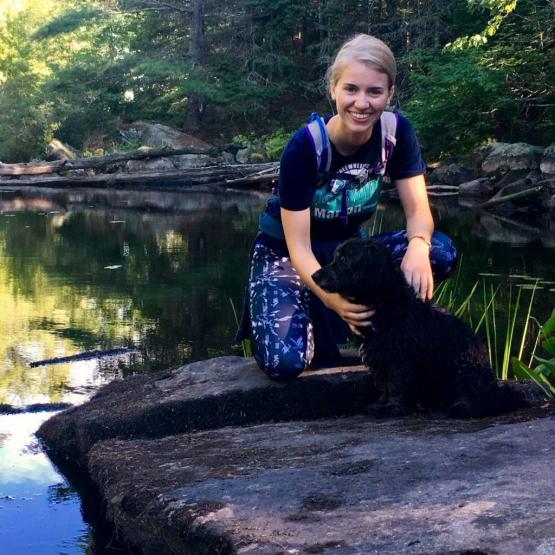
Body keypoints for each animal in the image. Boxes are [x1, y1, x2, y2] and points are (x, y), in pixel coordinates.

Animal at [312, 238, 544, 416]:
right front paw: (380, 405)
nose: (314, 276)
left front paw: (393, 409)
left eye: (344, 260)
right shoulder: (380, 359)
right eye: (335, 257)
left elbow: (395, 386)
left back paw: (463, 407)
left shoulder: (400, 358)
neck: (385, 304)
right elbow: (384, 386)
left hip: (464, 367)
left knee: (481, 398)